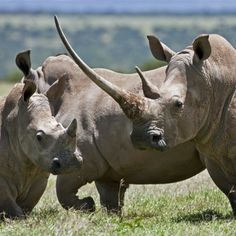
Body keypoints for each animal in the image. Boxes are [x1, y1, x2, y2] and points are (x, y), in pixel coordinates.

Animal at [0, 79, 82, 219]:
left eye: (61, 126)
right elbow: (8, 202)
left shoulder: (40, 172)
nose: (70, 164)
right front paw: (18, 219)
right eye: (38, 137)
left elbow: (29, 201)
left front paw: (25, 217)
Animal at [55, 18, 236, 216]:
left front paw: (87, 205)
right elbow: (229, 188)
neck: (213, 82)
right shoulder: (213, 145)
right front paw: (103, 211)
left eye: (178, 104)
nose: (142, 139)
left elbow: (64, 187)